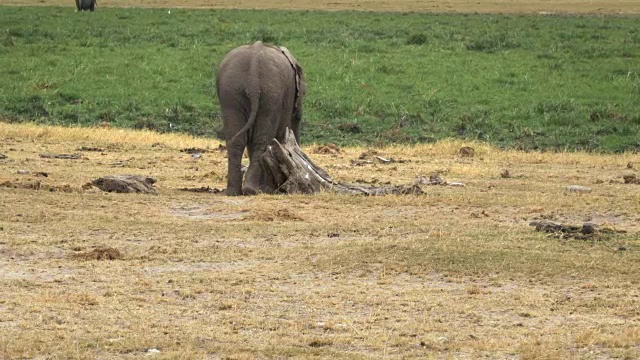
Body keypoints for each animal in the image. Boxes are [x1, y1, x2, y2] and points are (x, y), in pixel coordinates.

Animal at [216, 40, 306, 195]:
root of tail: (253, 82)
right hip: (271, 95)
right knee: (262, 141)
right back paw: (252, 190)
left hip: (231, 93)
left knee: (236, 140)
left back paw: (234, 192)